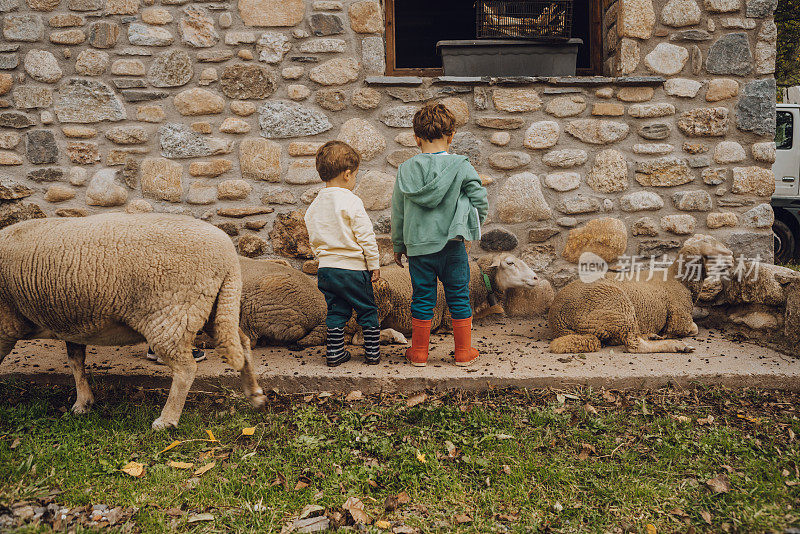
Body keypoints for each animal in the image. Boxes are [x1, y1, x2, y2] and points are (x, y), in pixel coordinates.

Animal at [0, 214, 266, 432]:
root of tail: (228, 257)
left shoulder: (6, 325)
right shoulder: (71, 321)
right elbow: (76, 361)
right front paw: (83, 403)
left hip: (173, 312)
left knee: (186, 368)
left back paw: (167, 420)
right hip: (213, 305)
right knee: (241, 343)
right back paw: (255, 395)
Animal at [552, 236, 732, 356]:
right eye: (713, 253)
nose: (732, 259)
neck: (678, 280)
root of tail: (559, 320)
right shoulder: (680, 319)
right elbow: (693, 328)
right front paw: (673, 336)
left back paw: (652, 335)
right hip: (617, 305)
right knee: (634, 345)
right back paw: (677, 345)